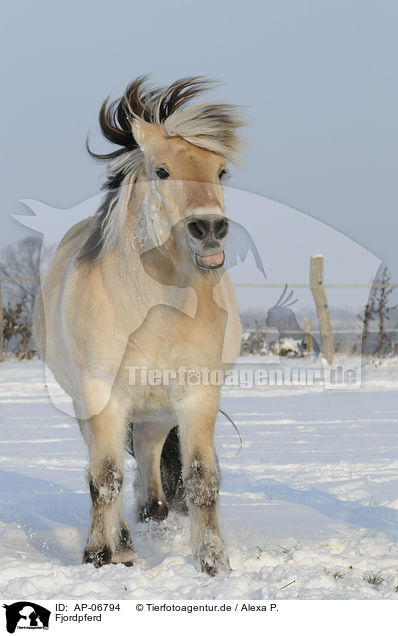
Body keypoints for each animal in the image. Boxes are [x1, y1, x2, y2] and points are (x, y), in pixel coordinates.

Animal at [34, 76, 244, 576]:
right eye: (162, 171)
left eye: (221, 171)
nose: (209, 228)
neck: (157, 313)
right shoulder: (101, 396)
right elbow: (104, 477)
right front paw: (98, 556)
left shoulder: (198, 395)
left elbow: (202, 479)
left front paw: (214, 563)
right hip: (91, 409)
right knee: (105, 471)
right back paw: (123, 548)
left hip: (156, 412)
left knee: (149, 469)